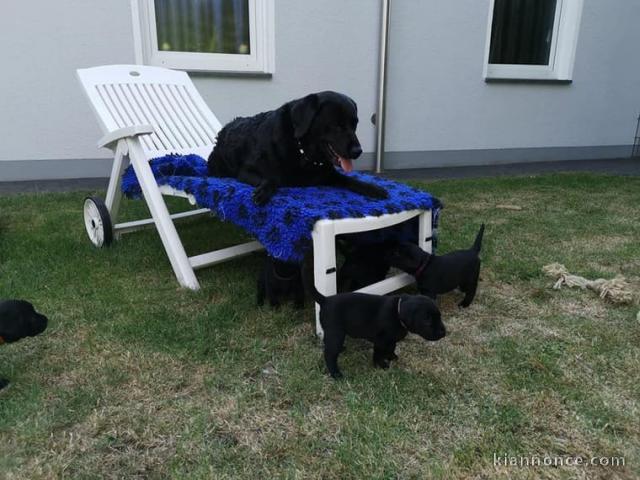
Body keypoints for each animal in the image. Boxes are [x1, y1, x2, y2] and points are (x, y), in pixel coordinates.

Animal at [210, 90, 390, 204]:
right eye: (337, 125)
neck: (303, 153)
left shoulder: (328, 175)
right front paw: (263, 192)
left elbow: (350, 179)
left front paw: (373, 188)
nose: (358, 151)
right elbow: (273, 178)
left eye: (355, 125)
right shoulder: (246, 170)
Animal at [310, 284, 444, 378]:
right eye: (427, 320)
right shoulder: (381, 340)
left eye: (440, 316)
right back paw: (336, 374)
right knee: (329, 354)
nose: (444, 333)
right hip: (336, 333)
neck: (397, 312)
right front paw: (381, 365)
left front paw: (391, 356)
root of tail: (325, 300)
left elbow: (391, 347)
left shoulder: (391, 339)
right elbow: (378, 353)